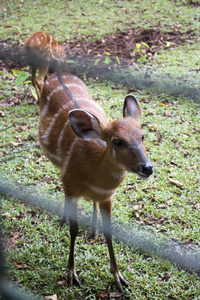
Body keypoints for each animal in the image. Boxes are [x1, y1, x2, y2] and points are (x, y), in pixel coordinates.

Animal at [38, 71, 154, 292]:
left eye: (142, 136)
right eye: (117, 141)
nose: (147, 167)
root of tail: (58, 72)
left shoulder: (107, 197)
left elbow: (110, 233)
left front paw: (119, 278)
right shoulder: (71, 185)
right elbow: (73, 229)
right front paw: (71, 275)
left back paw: (93, 230)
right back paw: (64, 220)